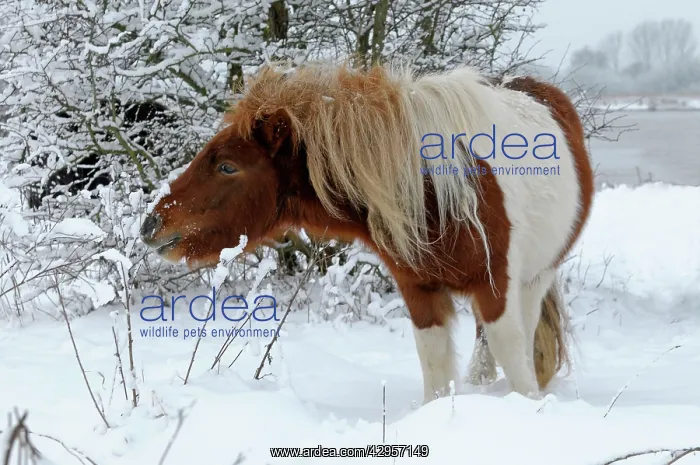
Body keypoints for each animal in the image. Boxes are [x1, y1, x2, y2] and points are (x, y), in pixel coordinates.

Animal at [140, 62, 594, 404]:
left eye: (227, 166)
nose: (151, 224)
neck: (431, 189)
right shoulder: (419, 290)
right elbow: (434, 366)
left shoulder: (496, 285)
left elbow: (515, 359)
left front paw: (527, 407)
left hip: (536, 278)